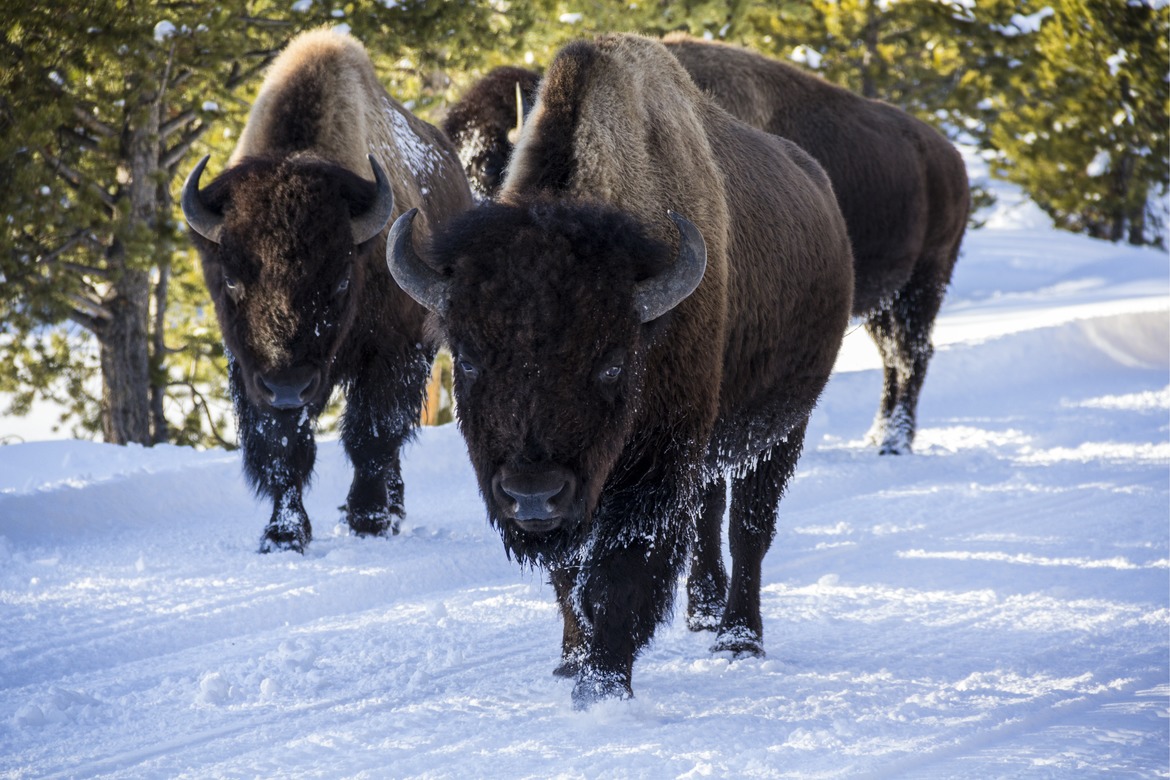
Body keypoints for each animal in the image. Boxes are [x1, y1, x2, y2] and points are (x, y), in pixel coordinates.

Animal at [181, 29, 472, 552]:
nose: (287, 386)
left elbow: (372, 436)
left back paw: (389, 512)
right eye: (231, 279)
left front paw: (369, 520)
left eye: (339, 281)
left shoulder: (395, 353)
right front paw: (283, 535)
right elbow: (282, 448)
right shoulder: (251, 373)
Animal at [389, 35, 853, 706]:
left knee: (750, 527)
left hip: (783, 429)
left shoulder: (654, 465)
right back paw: (703, 614)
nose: (532, 493)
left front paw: (602, 686)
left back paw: (737, 638)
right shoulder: (588, 494)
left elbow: (621, 574)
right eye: (469, 361)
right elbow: (570, 578)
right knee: (710, 515)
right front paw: (571, 662)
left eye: (611, 365)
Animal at [664, 34, 970, 455]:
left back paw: (894, 442)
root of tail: (952, 158)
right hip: (884, 301)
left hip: (925, 281)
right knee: (892, 357)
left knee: (912, 355)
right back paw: (875, 435)